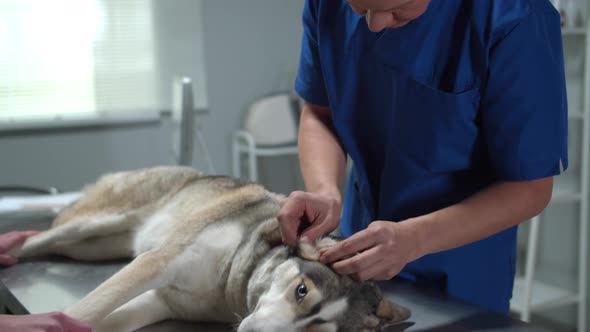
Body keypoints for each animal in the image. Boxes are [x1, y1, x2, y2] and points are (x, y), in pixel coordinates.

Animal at [11, 167, 414, 332]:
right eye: (301, 291)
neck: (231, 279)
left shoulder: (160, 302)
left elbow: (101, 320)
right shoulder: (159, 262)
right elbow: (87, 308)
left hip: (93, 248)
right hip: (94, 223)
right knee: (39, 239)